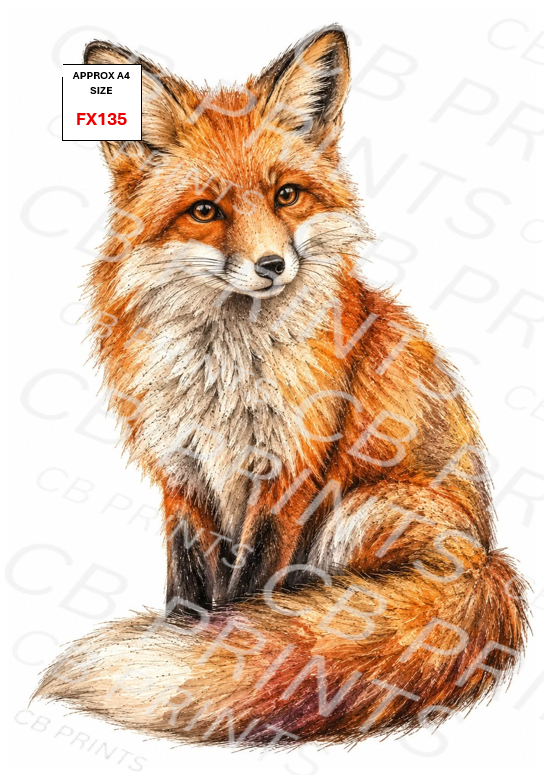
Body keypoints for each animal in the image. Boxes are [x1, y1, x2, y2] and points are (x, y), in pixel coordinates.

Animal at [35, 26, 528, 746]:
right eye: (205, 211)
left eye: (286, 196)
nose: (272, 265)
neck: (221, 370)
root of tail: (489, 562)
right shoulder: (181, 473)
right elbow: (188, 585)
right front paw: (184, 643)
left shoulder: (288, 473)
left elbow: (249, 592)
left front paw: (223, 661)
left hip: (360, 512)